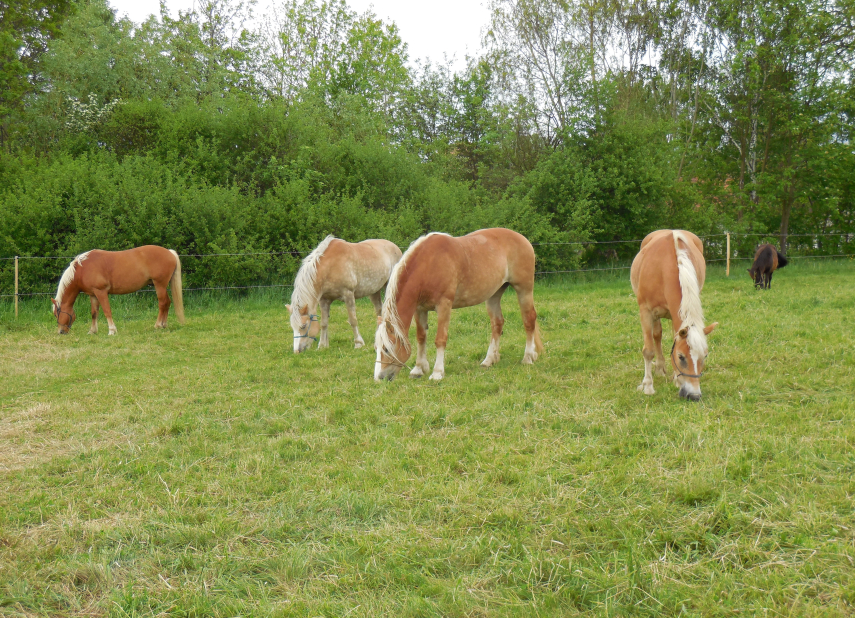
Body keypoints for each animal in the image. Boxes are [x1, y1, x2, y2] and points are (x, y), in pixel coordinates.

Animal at [51, 243, 184, 334]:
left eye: (57, 314)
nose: (61, 332)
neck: (83, 269)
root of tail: (169, 252)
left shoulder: (101, 292)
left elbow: (107, 311)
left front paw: (112, 330)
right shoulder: (93, 294)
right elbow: (94, 313)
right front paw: (92, 331)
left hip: (159, 285)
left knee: (162, 303)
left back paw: (157, 325)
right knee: (167, 302)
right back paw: (164, 325)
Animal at [372, 226, 540, 380]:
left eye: (386, 349)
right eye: (376, 348)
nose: (379, 377)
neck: (429, 264)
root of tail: (522, 238)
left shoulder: (444, 305)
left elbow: (440, 339)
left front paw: (437, 373)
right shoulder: (420, 309)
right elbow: (421, 337)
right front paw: (419, 369)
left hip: (524, 289)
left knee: (529, 320)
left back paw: (528, 357)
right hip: (494, 295)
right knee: (497, 324)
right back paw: (489, 360)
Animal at [632, 229, 720, 398]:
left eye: (704, 356)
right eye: (681, 357)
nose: (694, 396)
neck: (663, 269)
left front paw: (677, 380)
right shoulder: (645, 312)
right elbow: (648, 351)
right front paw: (648, 386)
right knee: (657, 335)